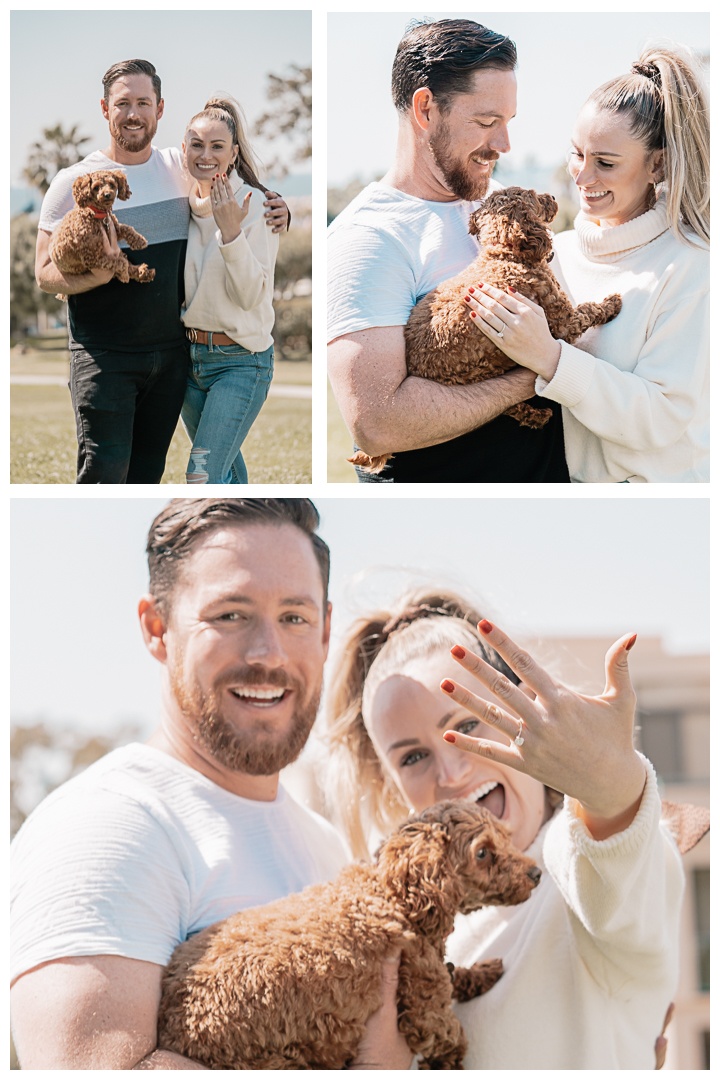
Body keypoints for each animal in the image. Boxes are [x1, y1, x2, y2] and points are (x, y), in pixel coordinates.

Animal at [157, 803, 539, 1071]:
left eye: (506, 837)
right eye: (483, 853)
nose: (536, 872)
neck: (392, 894)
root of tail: (170, 1024)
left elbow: (456, 974)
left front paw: (482, 973)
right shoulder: (423, 1007)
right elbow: (451, 1037)